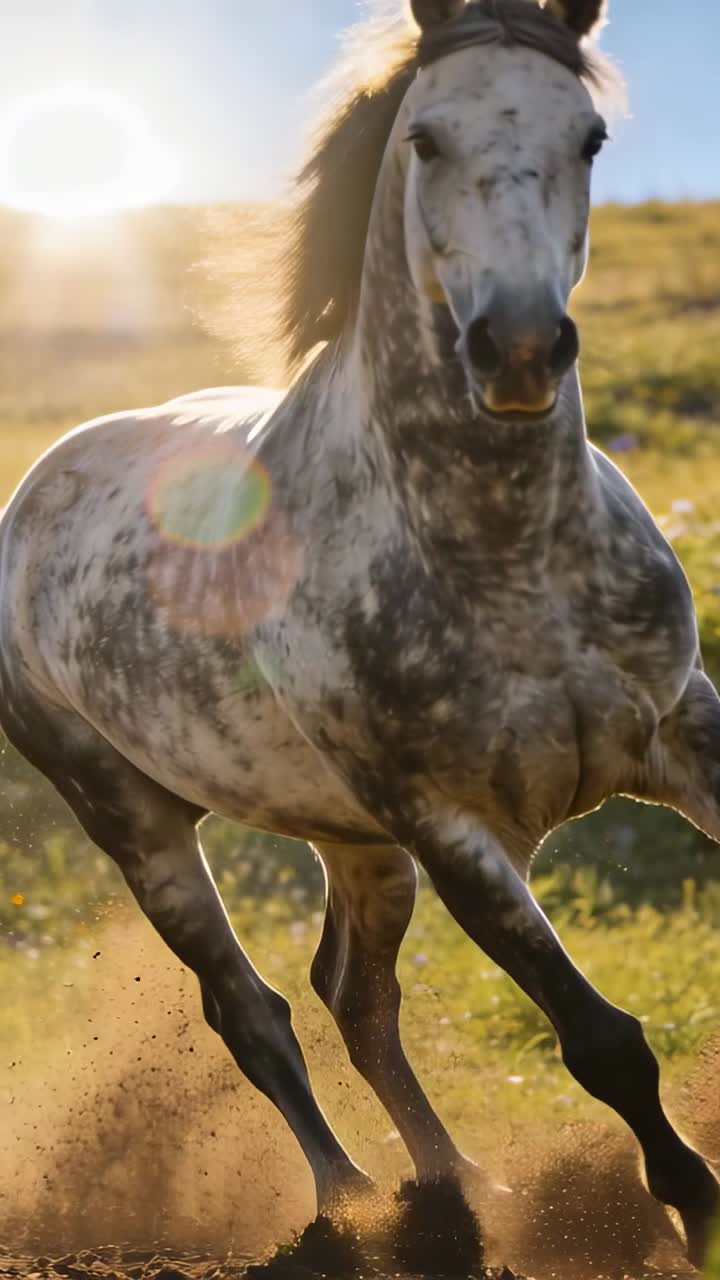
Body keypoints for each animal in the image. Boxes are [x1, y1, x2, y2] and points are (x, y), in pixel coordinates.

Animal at [1, 0, 718, 1266]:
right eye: (426, 138)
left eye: (588, 137)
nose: (518, 350)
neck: (508, 555)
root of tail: (38, 485)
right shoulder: (445, 822)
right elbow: (600, 1038)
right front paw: (694, 1204)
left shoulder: (684, 725)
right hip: (136, 818)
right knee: (255, 1011)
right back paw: (359, 1204)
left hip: (351, 839)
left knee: (354, 996)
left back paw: (460, 1185)